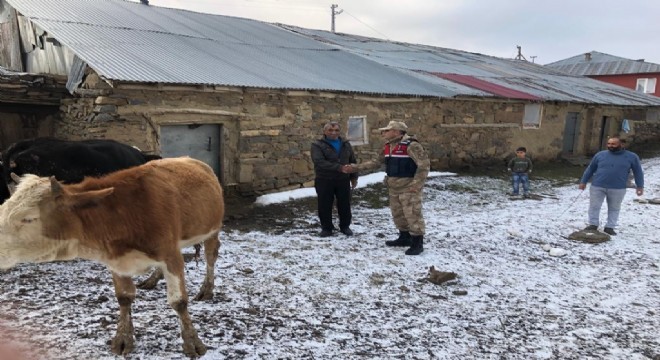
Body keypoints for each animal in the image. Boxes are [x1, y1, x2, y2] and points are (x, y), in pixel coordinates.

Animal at [0, 156, 224, 356]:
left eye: (29, 218)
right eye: (3, 209)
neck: (125, 215)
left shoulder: (170, 255)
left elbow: (179, 301)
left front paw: (193, 342)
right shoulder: (115, 260)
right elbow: (124, 298)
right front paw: (123, 338)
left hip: (212, 230)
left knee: (211, 256)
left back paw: (207, 289)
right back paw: (153, 279)